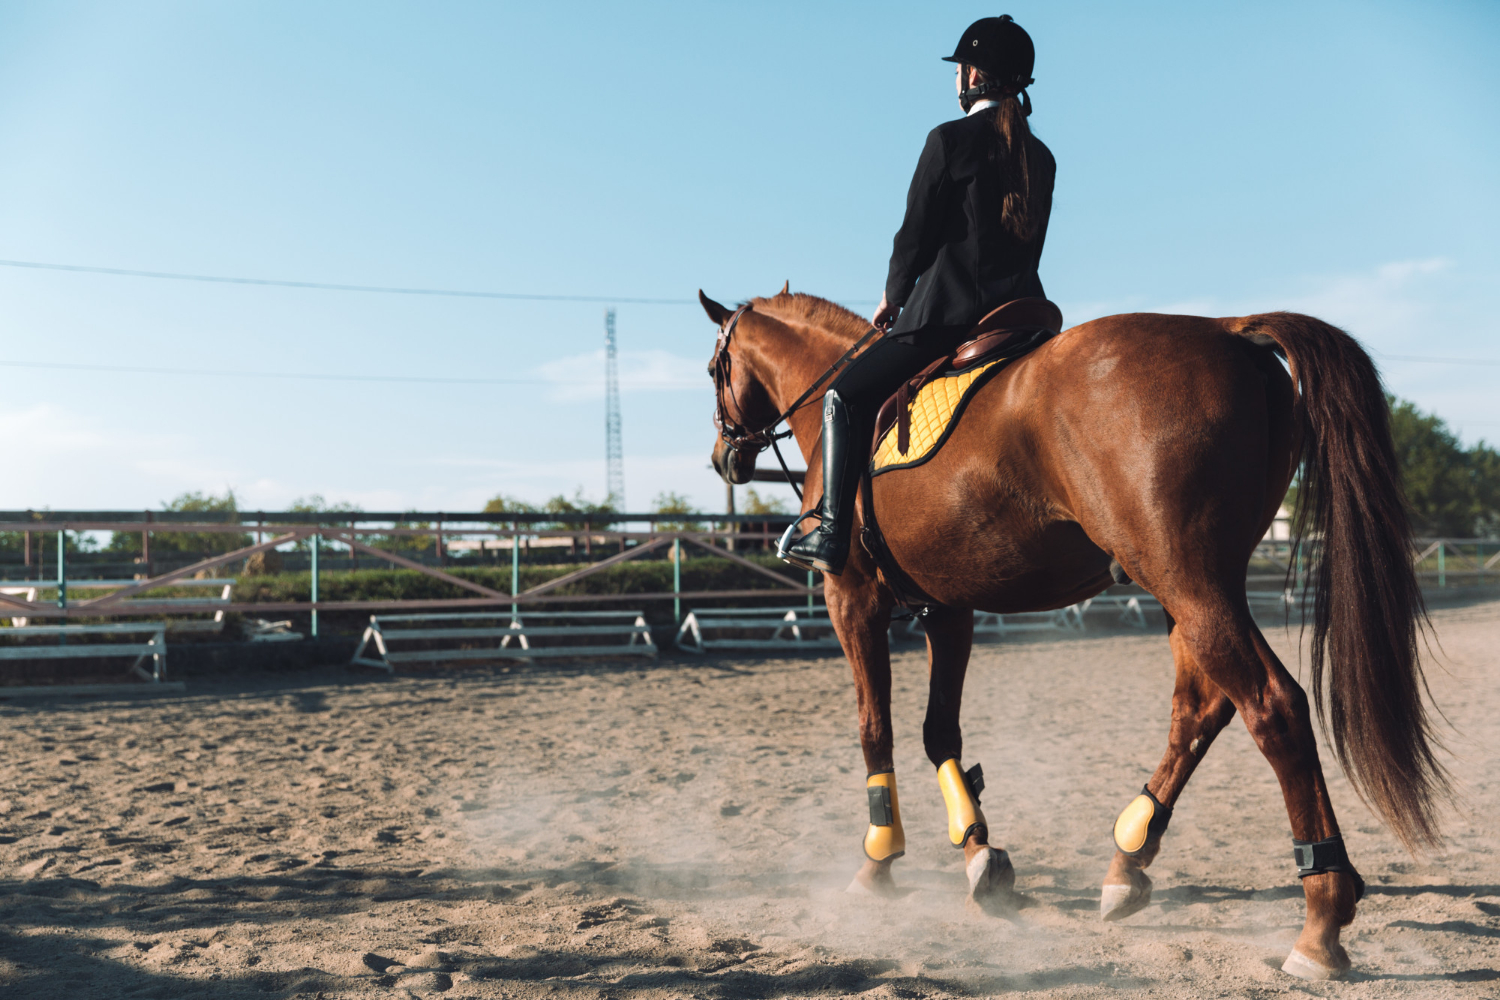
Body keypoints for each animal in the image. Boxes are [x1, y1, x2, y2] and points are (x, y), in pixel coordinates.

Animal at [698, 288, 1447, 982]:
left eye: (713, 368)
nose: (723, 458)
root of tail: (1225, 329)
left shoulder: (850, 598)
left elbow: (873, 728)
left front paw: (879, 861)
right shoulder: (948, 610)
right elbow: (941, 733)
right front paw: (979, 855)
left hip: (1185, 578)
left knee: (1273, 706)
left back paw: (1319, 922)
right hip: (1191, 584)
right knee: (1202, 708)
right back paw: (1128, 862)